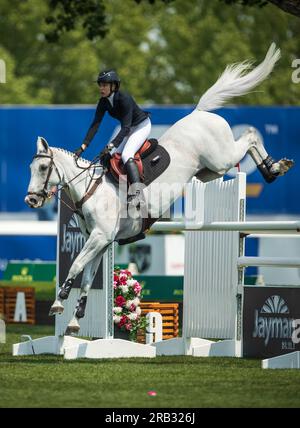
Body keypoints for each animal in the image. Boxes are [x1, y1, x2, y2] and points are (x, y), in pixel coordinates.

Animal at [25, 43, 292, 334]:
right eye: (31, 168)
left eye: (43, 168)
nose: (31, 200)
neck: (90, 189)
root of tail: (199, 112)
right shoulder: (101, 242)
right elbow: (86, 277)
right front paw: (74, 322)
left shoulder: (99, 237)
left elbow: (74, 266)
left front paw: (58, 303)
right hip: (211, 170)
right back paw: (272, 169)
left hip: (221, 156)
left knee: (251, 135)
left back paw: (275, 168)